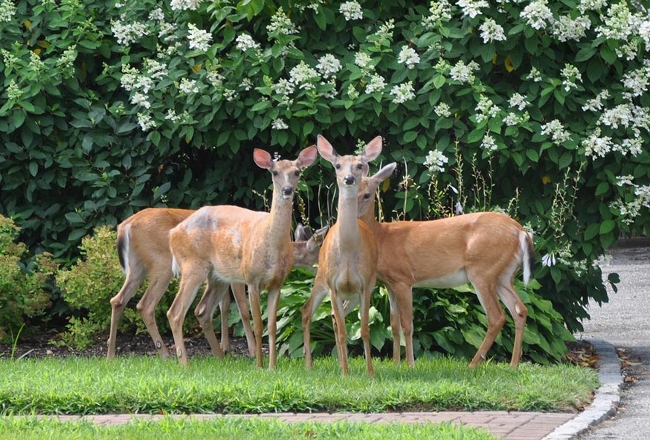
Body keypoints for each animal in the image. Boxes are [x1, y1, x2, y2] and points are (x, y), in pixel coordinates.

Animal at [109, 206, 330, 360]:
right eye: (318, 255)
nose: (323, 272)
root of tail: (124, 226)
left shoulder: (220, 277)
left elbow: (223, 307)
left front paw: (226, 349)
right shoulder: (238, 276)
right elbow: (242, 309)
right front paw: (251, 351)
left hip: (137, 268)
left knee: (118, 300)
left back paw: (111, 355)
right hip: (162, 265)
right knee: (146, 305)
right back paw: (166, 355)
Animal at [167, 144, 316, 368]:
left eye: (297, 172)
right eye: (274, 172)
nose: (287, 190)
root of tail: (173, 233)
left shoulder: (277, 283)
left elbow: (272, 327)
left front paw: (272, 367)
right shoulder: (251, 279)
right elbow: (257, 325)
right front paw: (259, 365)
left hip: (217, 275)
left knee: (202, 310)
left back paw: (220, 358)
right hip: (192, 265)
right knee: (175, 312)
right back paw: (185, 364)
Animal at [302, 134, 382, 374]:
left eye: (359, 165)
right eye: (337, 165)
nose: (348, 178)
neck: (347, 253)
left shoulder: (365, 284)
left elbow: (363, 330)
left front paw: (370, 372)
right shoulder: (334, 285)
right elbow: (345, 331)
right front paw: (346, 374)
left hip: (355, 293)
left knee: (334, 319)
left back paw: (338, 363)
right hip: (321, 278)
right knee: (307, 311)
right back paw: (309, 365)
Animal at [354, 162, 532, 368]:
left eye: (367, 194)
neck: (381, 238)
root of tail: (521, 232)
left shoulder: (403, 279)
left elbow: (407, 325)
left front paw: (410, 365)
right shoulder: (389, 284)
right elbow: (394, 325)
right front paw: (396, 364)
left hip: (482, 270)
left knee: (497, 316)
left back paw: (473, 365)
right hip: (503, 275)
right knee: (520, 310)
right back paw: (513, 365)